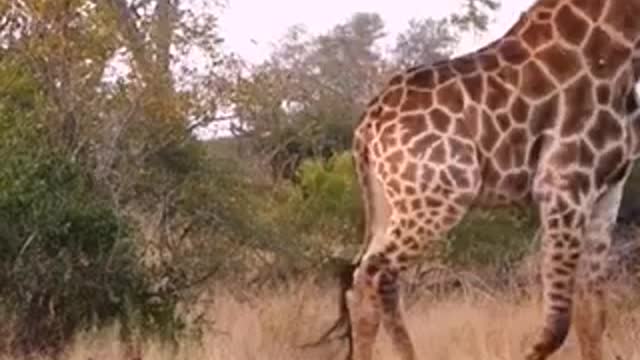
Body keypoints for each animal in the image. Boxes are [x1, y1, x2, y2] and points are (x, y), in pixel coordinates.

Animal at [340, 0, 640, 358]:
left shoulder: (608, 190)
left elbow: (593, 313)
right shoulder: (563, 183)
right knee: (374, 274)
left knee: (367, 277)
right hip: (439, 196)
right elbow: (558, 323)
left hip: (392, 203)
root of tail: (366, 126)